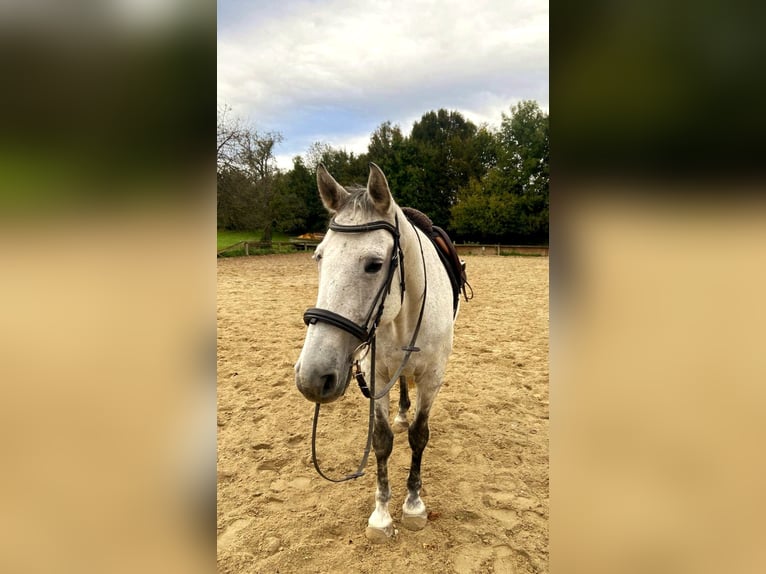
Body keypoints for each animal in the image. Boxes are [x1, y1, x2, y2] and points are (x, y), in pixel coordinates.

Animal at [294, 162, 460, 544]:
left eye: (373, 264)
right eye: (319, 257)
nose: (312, 377)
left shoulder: (432, 377)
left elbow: (419, 436)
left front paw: (413, 505)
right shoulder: (375, 373)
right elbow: (382, 441)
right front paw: (382, 515)